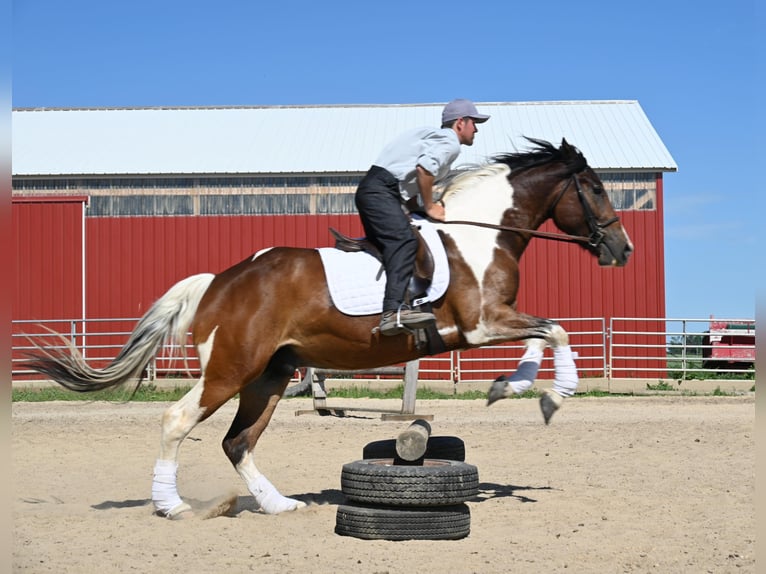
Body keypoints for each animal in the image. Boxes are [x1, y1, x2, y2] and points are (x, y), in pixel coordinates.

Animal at [25, 137, 636, 520]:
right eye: (597, 188)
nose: (622, 249)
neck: (480, 233)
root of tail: (221, 281)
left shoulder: (490, 325)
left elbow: (546, 332)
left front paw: (511, 387)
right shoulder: (482, 324)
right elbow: (555, 330)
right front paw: (551, 395)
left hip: (270, 375)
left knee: (237, 441)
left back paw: (277, 505)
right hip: (231, 368)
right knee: (180, 421)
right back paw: (171, 506)